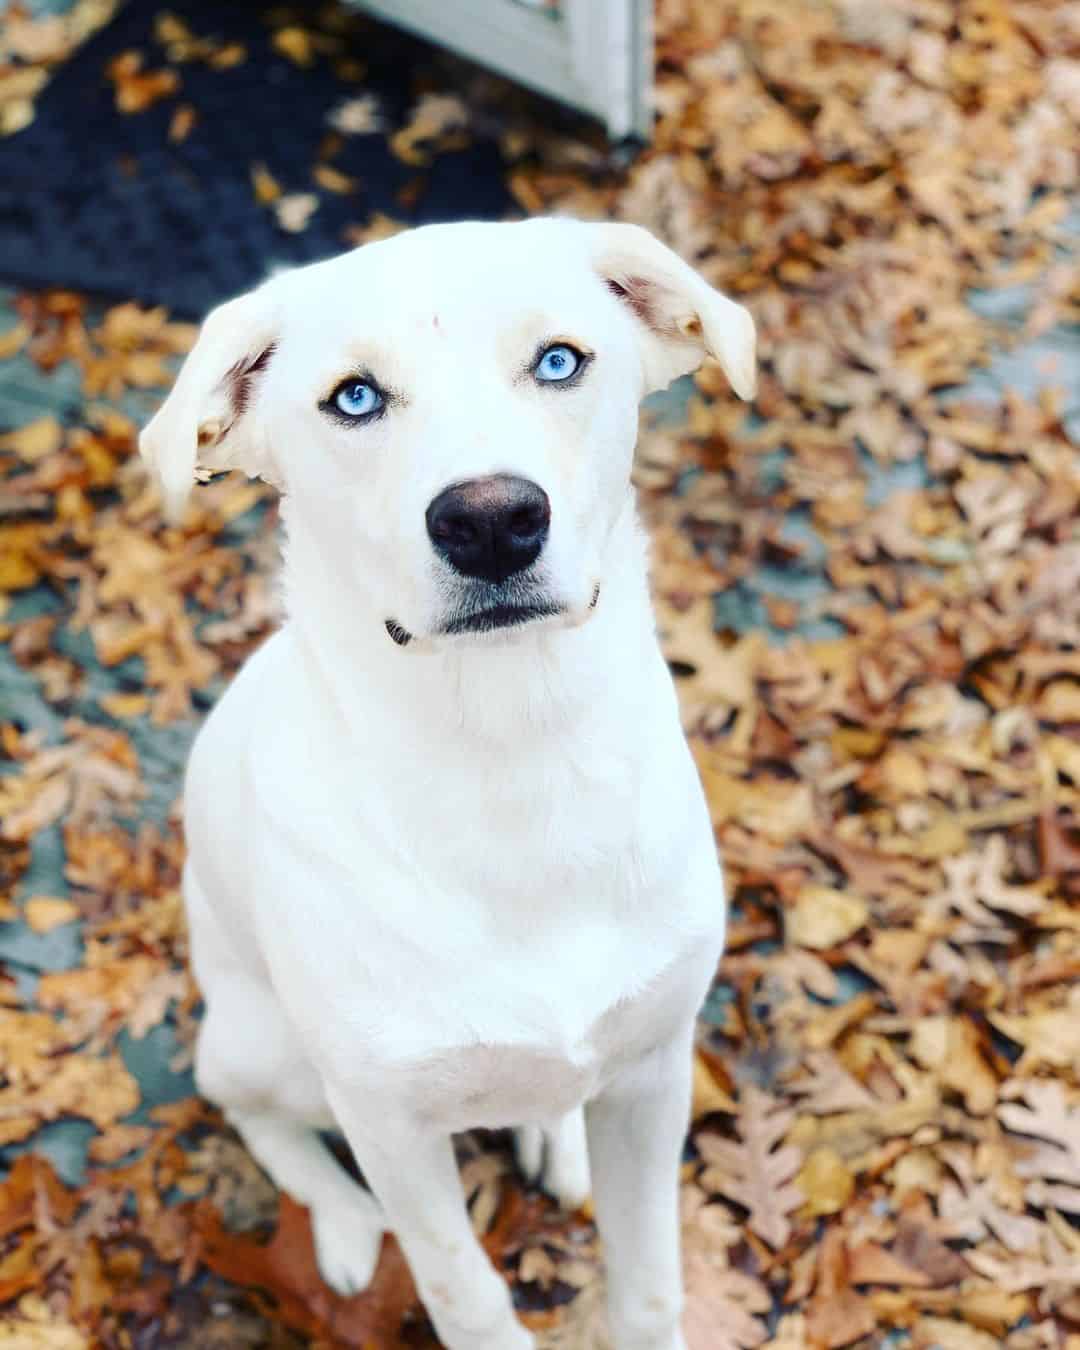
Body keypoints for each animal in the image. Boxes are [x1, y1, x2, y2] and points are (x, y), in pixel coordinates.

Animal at [141, 221, 750, 1350]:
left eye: (558, 361)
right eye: (353, 397)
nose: (493, 520)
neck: (514, 758)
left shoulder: (655, 1074)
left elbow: (648, 1282)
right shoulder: (391, 1124)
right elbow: (462, 1288)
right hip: (269, 1050)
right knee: (258, 1117)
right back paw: (343, 1223)